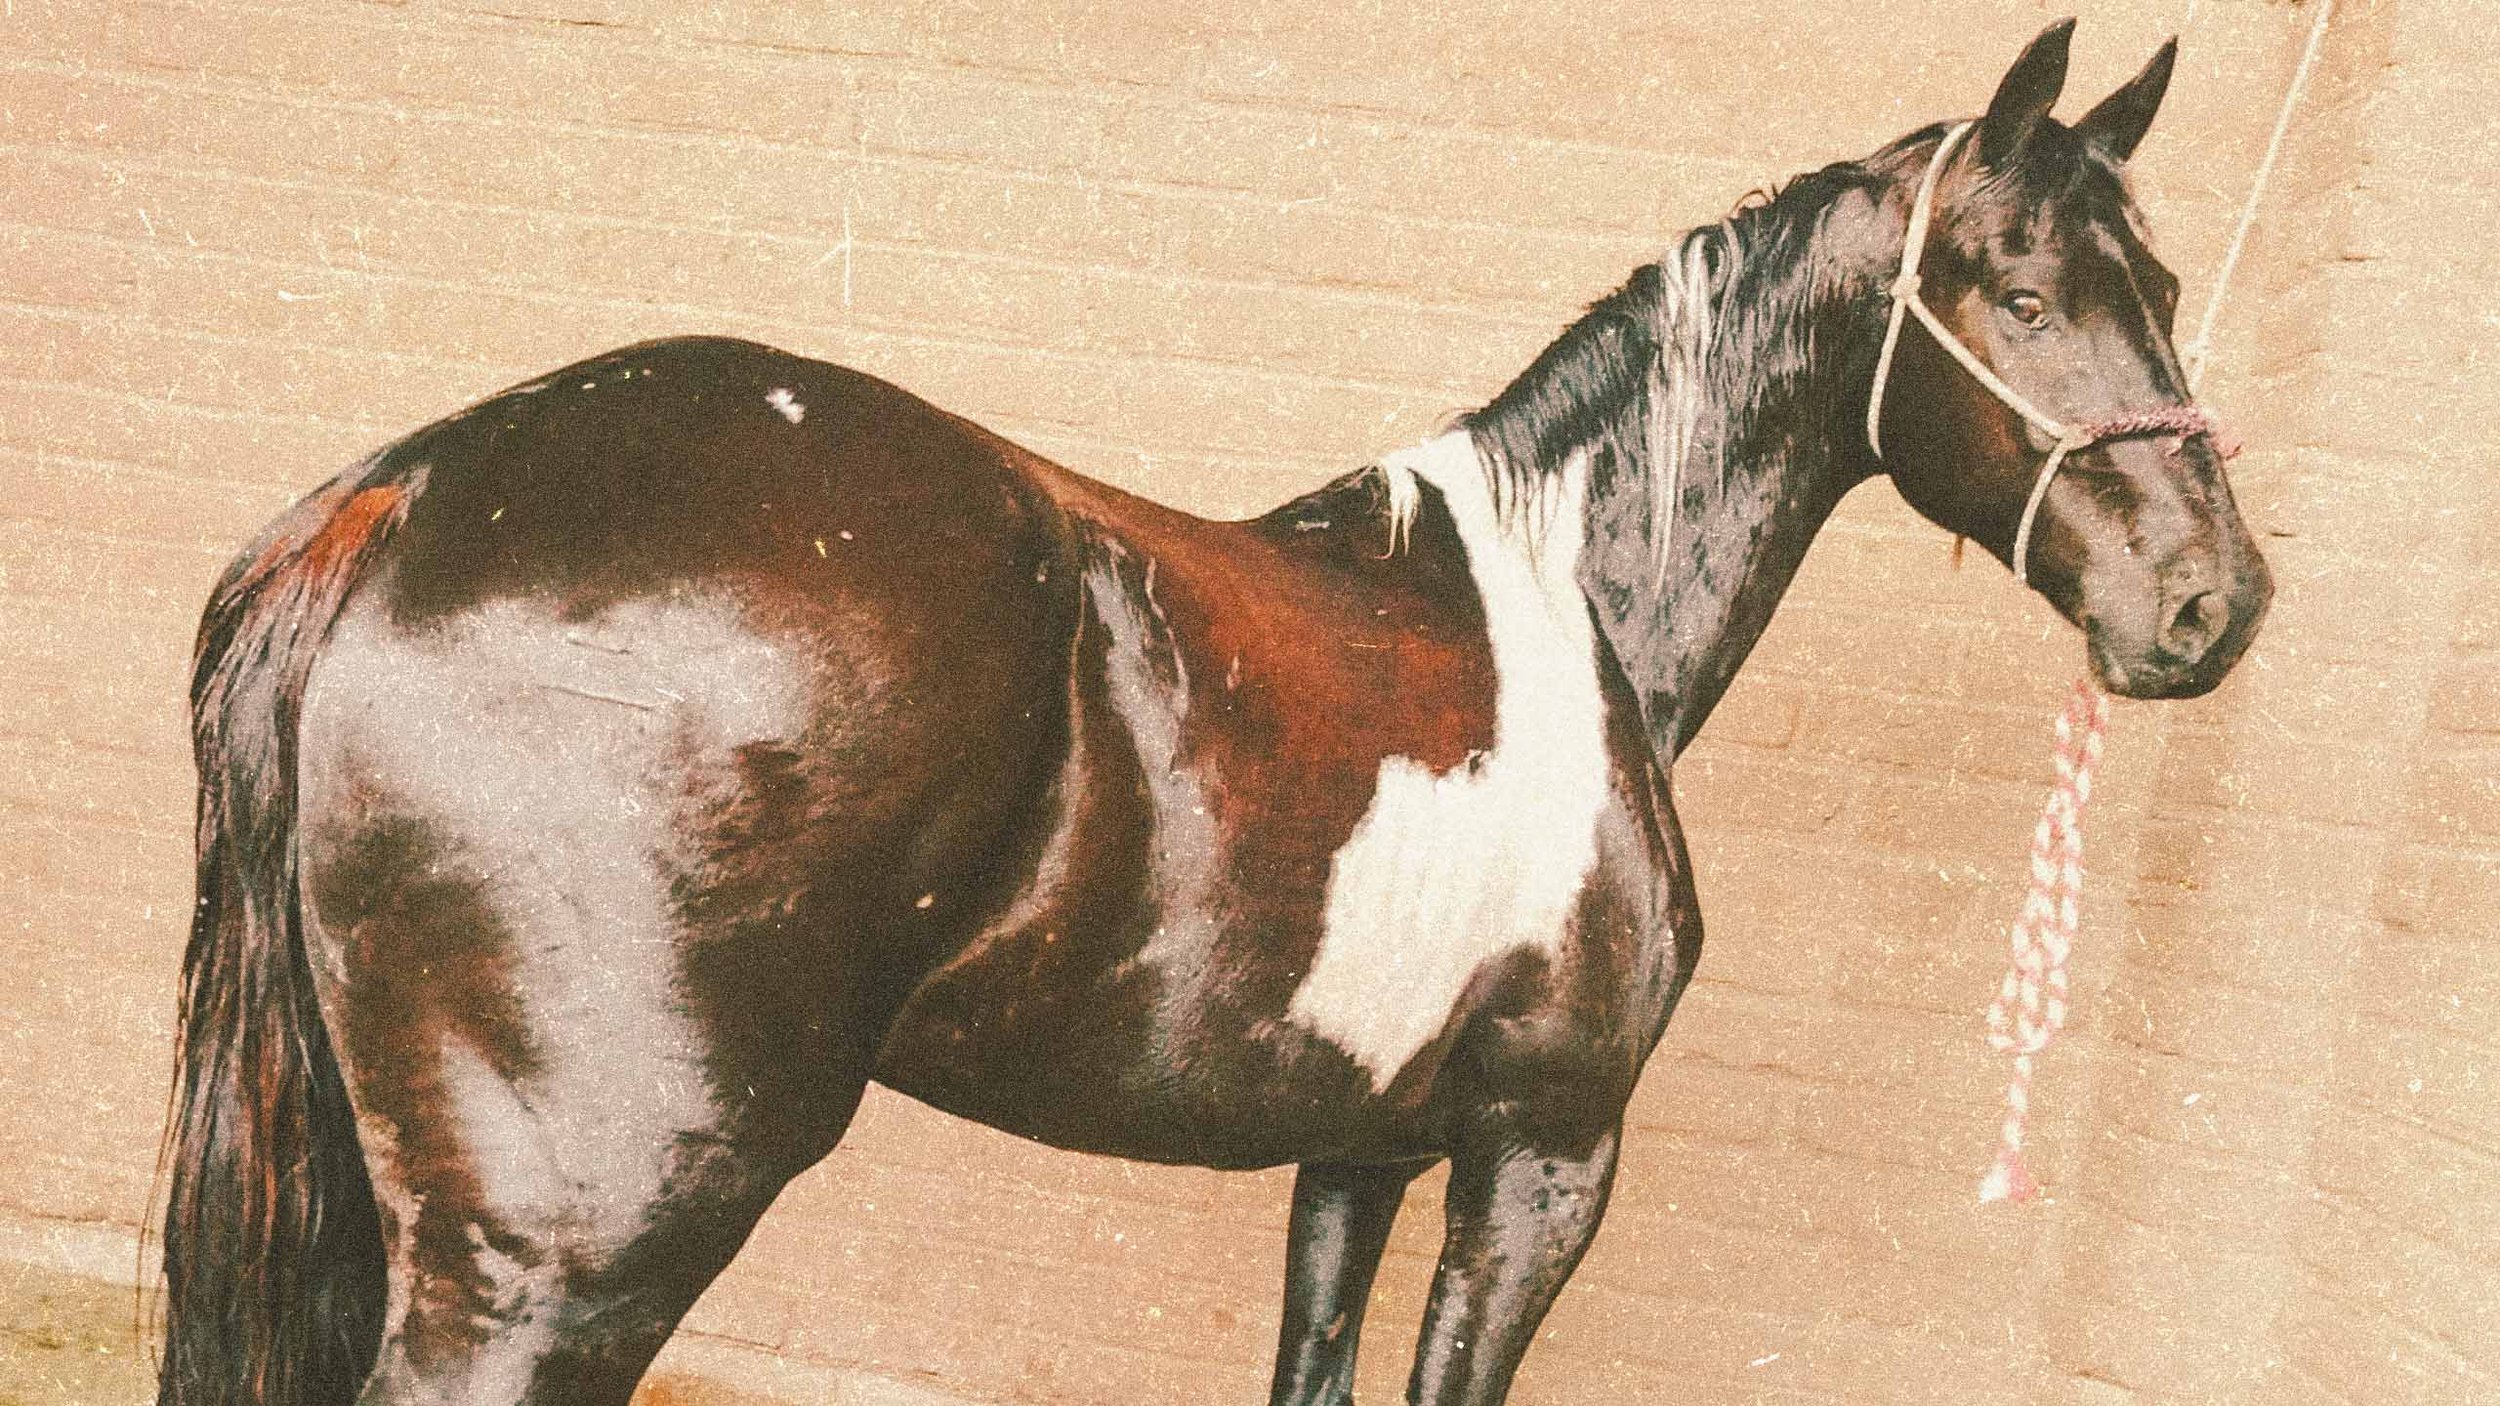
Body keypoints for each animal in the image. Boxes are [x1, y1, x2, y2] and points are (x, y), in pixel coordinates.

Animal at [156, 21, 2271, 1406]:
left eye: (2161, 283)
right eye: (2012, 291)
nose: (2212, 602)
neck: (1561, 598)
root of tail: (410, 496)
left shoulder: (1363, 1155)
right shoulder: (1543, 1157)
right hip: (574, 1256)